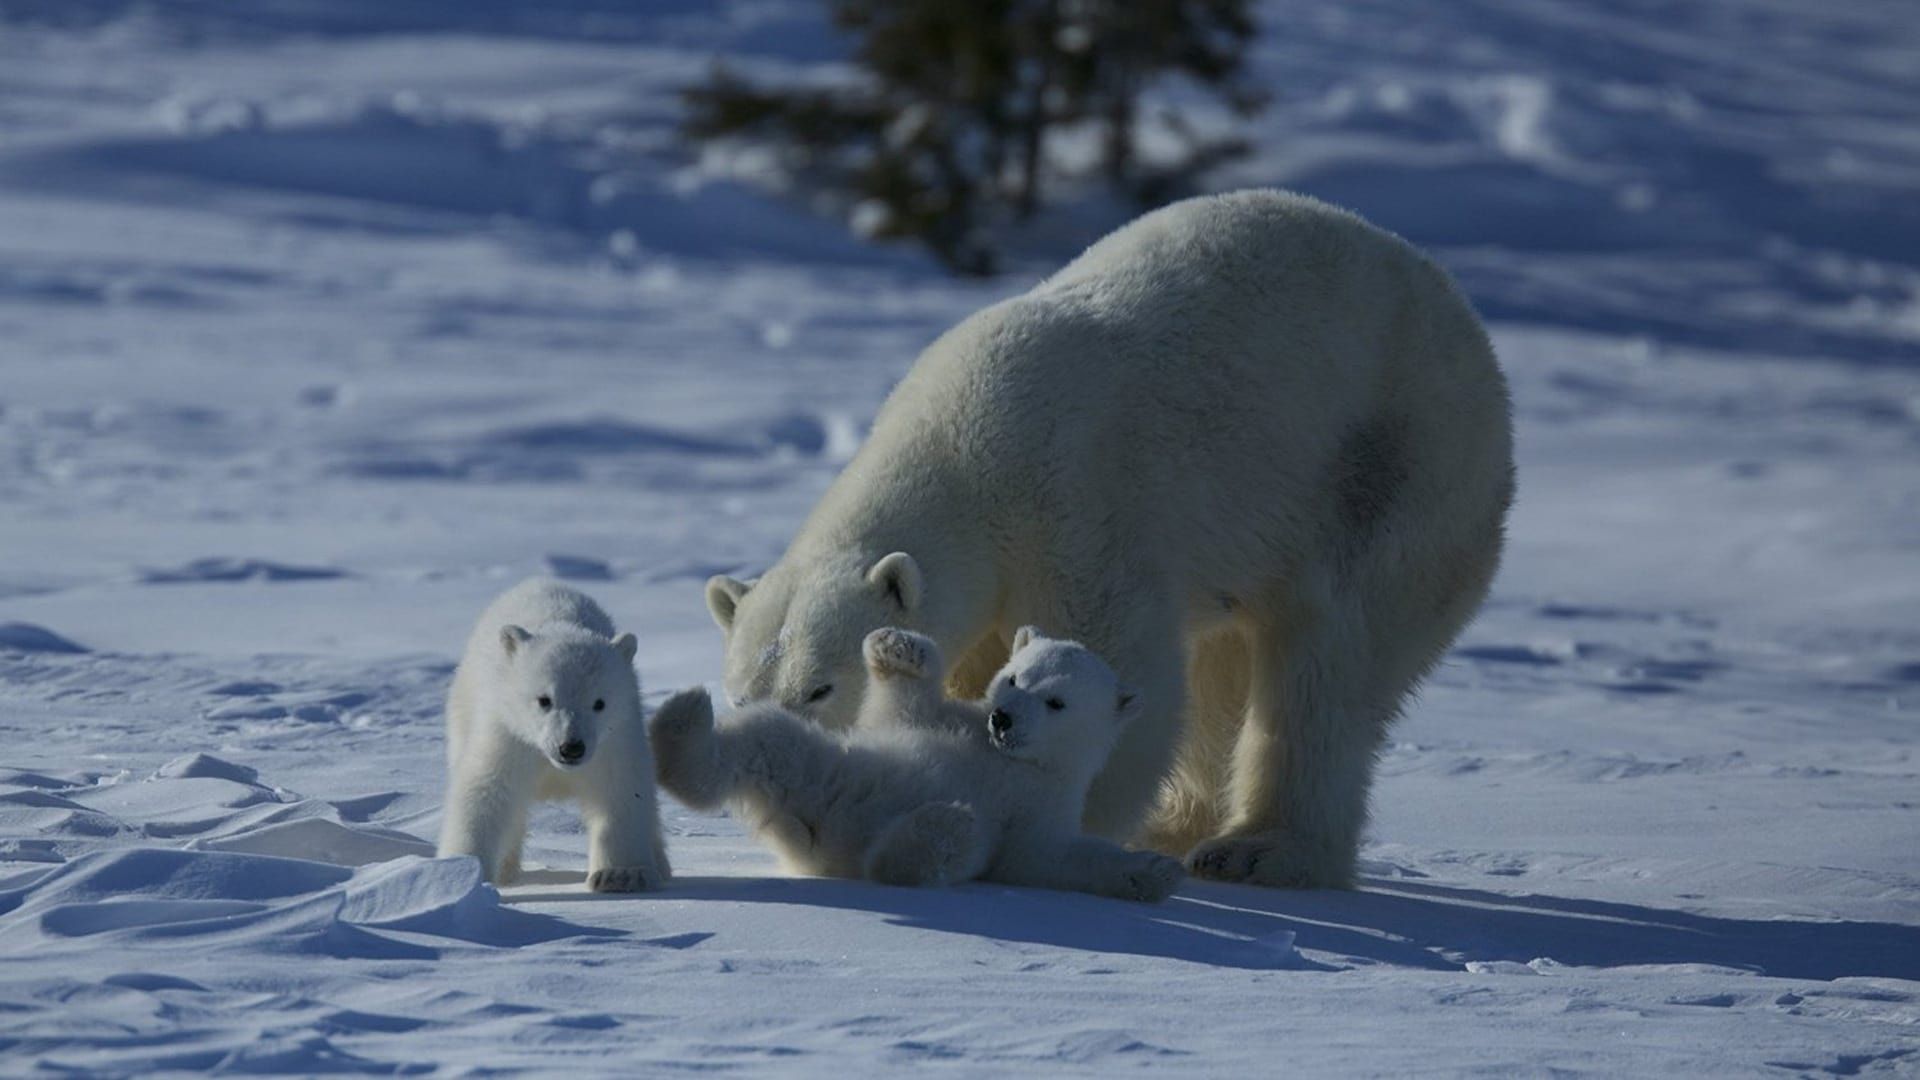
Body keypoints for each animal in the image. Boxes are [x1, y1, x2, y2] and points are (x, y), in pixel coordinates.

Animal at [706, 189, 1512, 887]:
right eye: (742, 693)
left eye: (820, 686)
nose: (775, 733)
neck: (963, 446)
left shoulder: (1073, 505)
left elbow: (1112, 664)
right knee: (1223, 667)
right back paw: (1179, 824)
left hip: (1393, 477)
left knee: (1328, 671)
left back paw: (1262, 850)